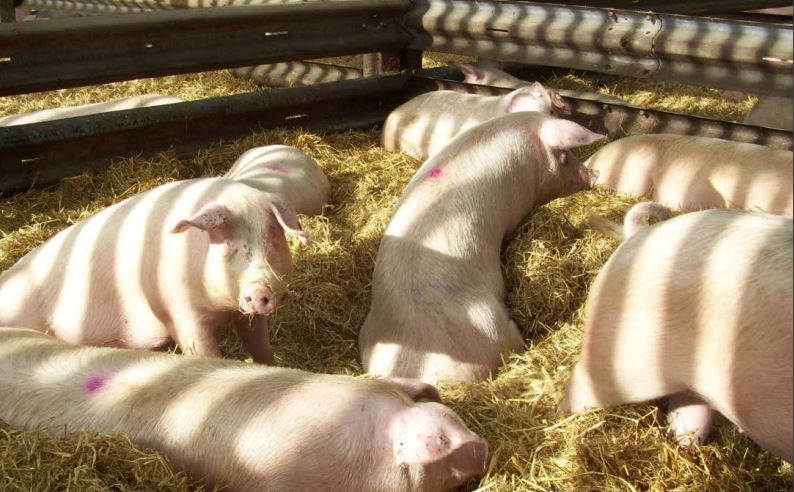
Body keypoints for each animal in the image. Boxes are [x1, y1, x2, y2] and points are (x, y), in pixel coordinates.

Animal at [0, 177, 309, 364]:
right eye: (227, 244)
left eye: (273, 236)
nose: (260, 289)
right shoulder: (179, 311)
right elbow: (205, 354)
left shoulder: (246, 315)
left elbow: (261, 347)